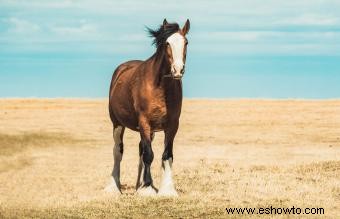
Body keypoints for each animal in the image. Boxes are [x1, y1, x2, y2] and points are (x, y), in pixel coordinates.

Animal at [105, 19, 190, 197]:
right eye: (167, 43)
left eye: (186, 42)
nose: (178, 70)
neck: (160, 87)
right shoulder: (144, 122)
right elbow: (149, 155)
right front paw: (148, 189)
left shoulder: (172, 125)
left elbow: (167, 155)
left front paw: (166, 189)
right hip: (118, 124)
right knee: (118, 151)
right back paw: (114, 187)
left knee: (141, 150)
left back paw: (139, 185)